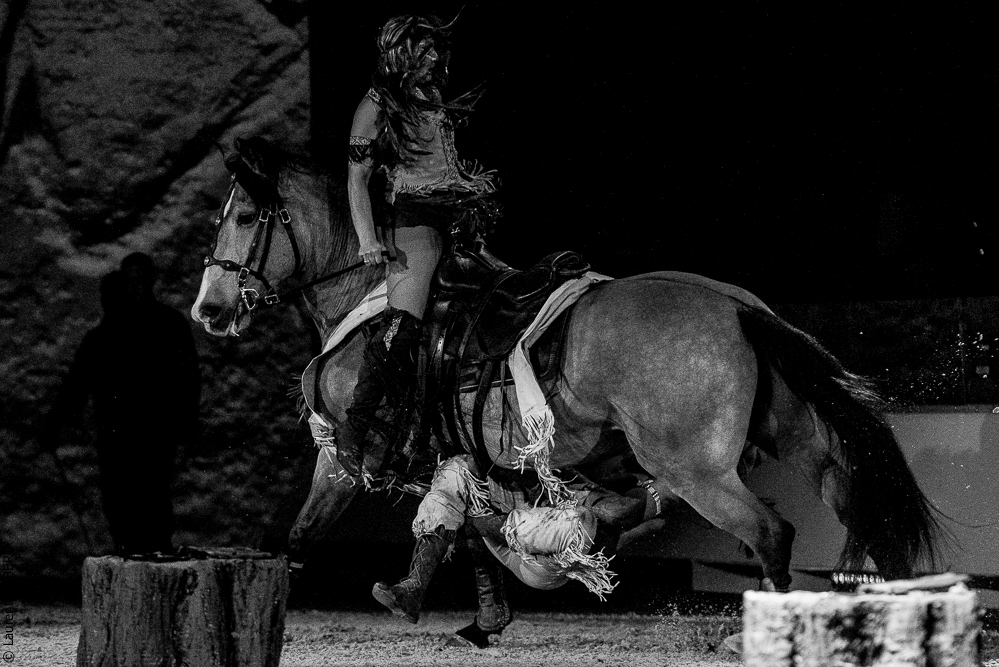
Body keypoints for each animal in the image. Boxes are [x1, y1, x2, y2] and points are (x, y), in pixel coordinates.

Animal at [191, 137, 942, 621]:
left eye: (246, 217)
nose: (209, 308)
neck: (372, 293)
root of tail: (736, 305)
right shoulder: (450, 458)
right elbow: (447, 529)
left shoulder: (348, 456)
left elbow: (306, 537)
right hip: (805, 448)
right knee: (860, 514)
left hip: (696, 468)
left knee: (771, 534)